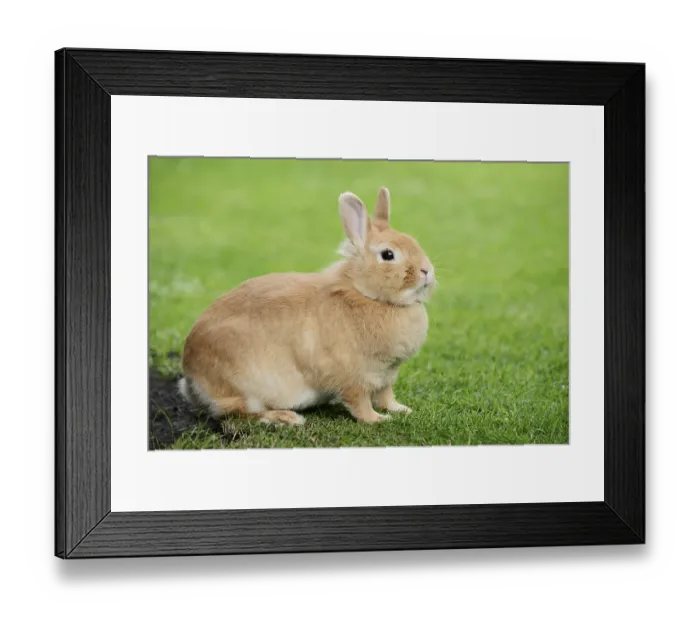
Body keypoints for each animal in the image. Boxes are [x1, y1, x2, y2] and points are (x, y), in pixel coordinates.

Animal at [179, 187, 437, 426]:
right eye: (388, 254)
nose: (427, 270)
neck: (367, 295)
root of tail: (191, 375)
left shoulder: (386, 375)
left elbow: (386, 396)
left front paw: (402, 410)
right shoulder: (353, 377)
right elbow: (360, 403)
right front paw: (378, 420)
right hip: (243, 387)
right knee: (238, 412)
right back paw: (286, 418)